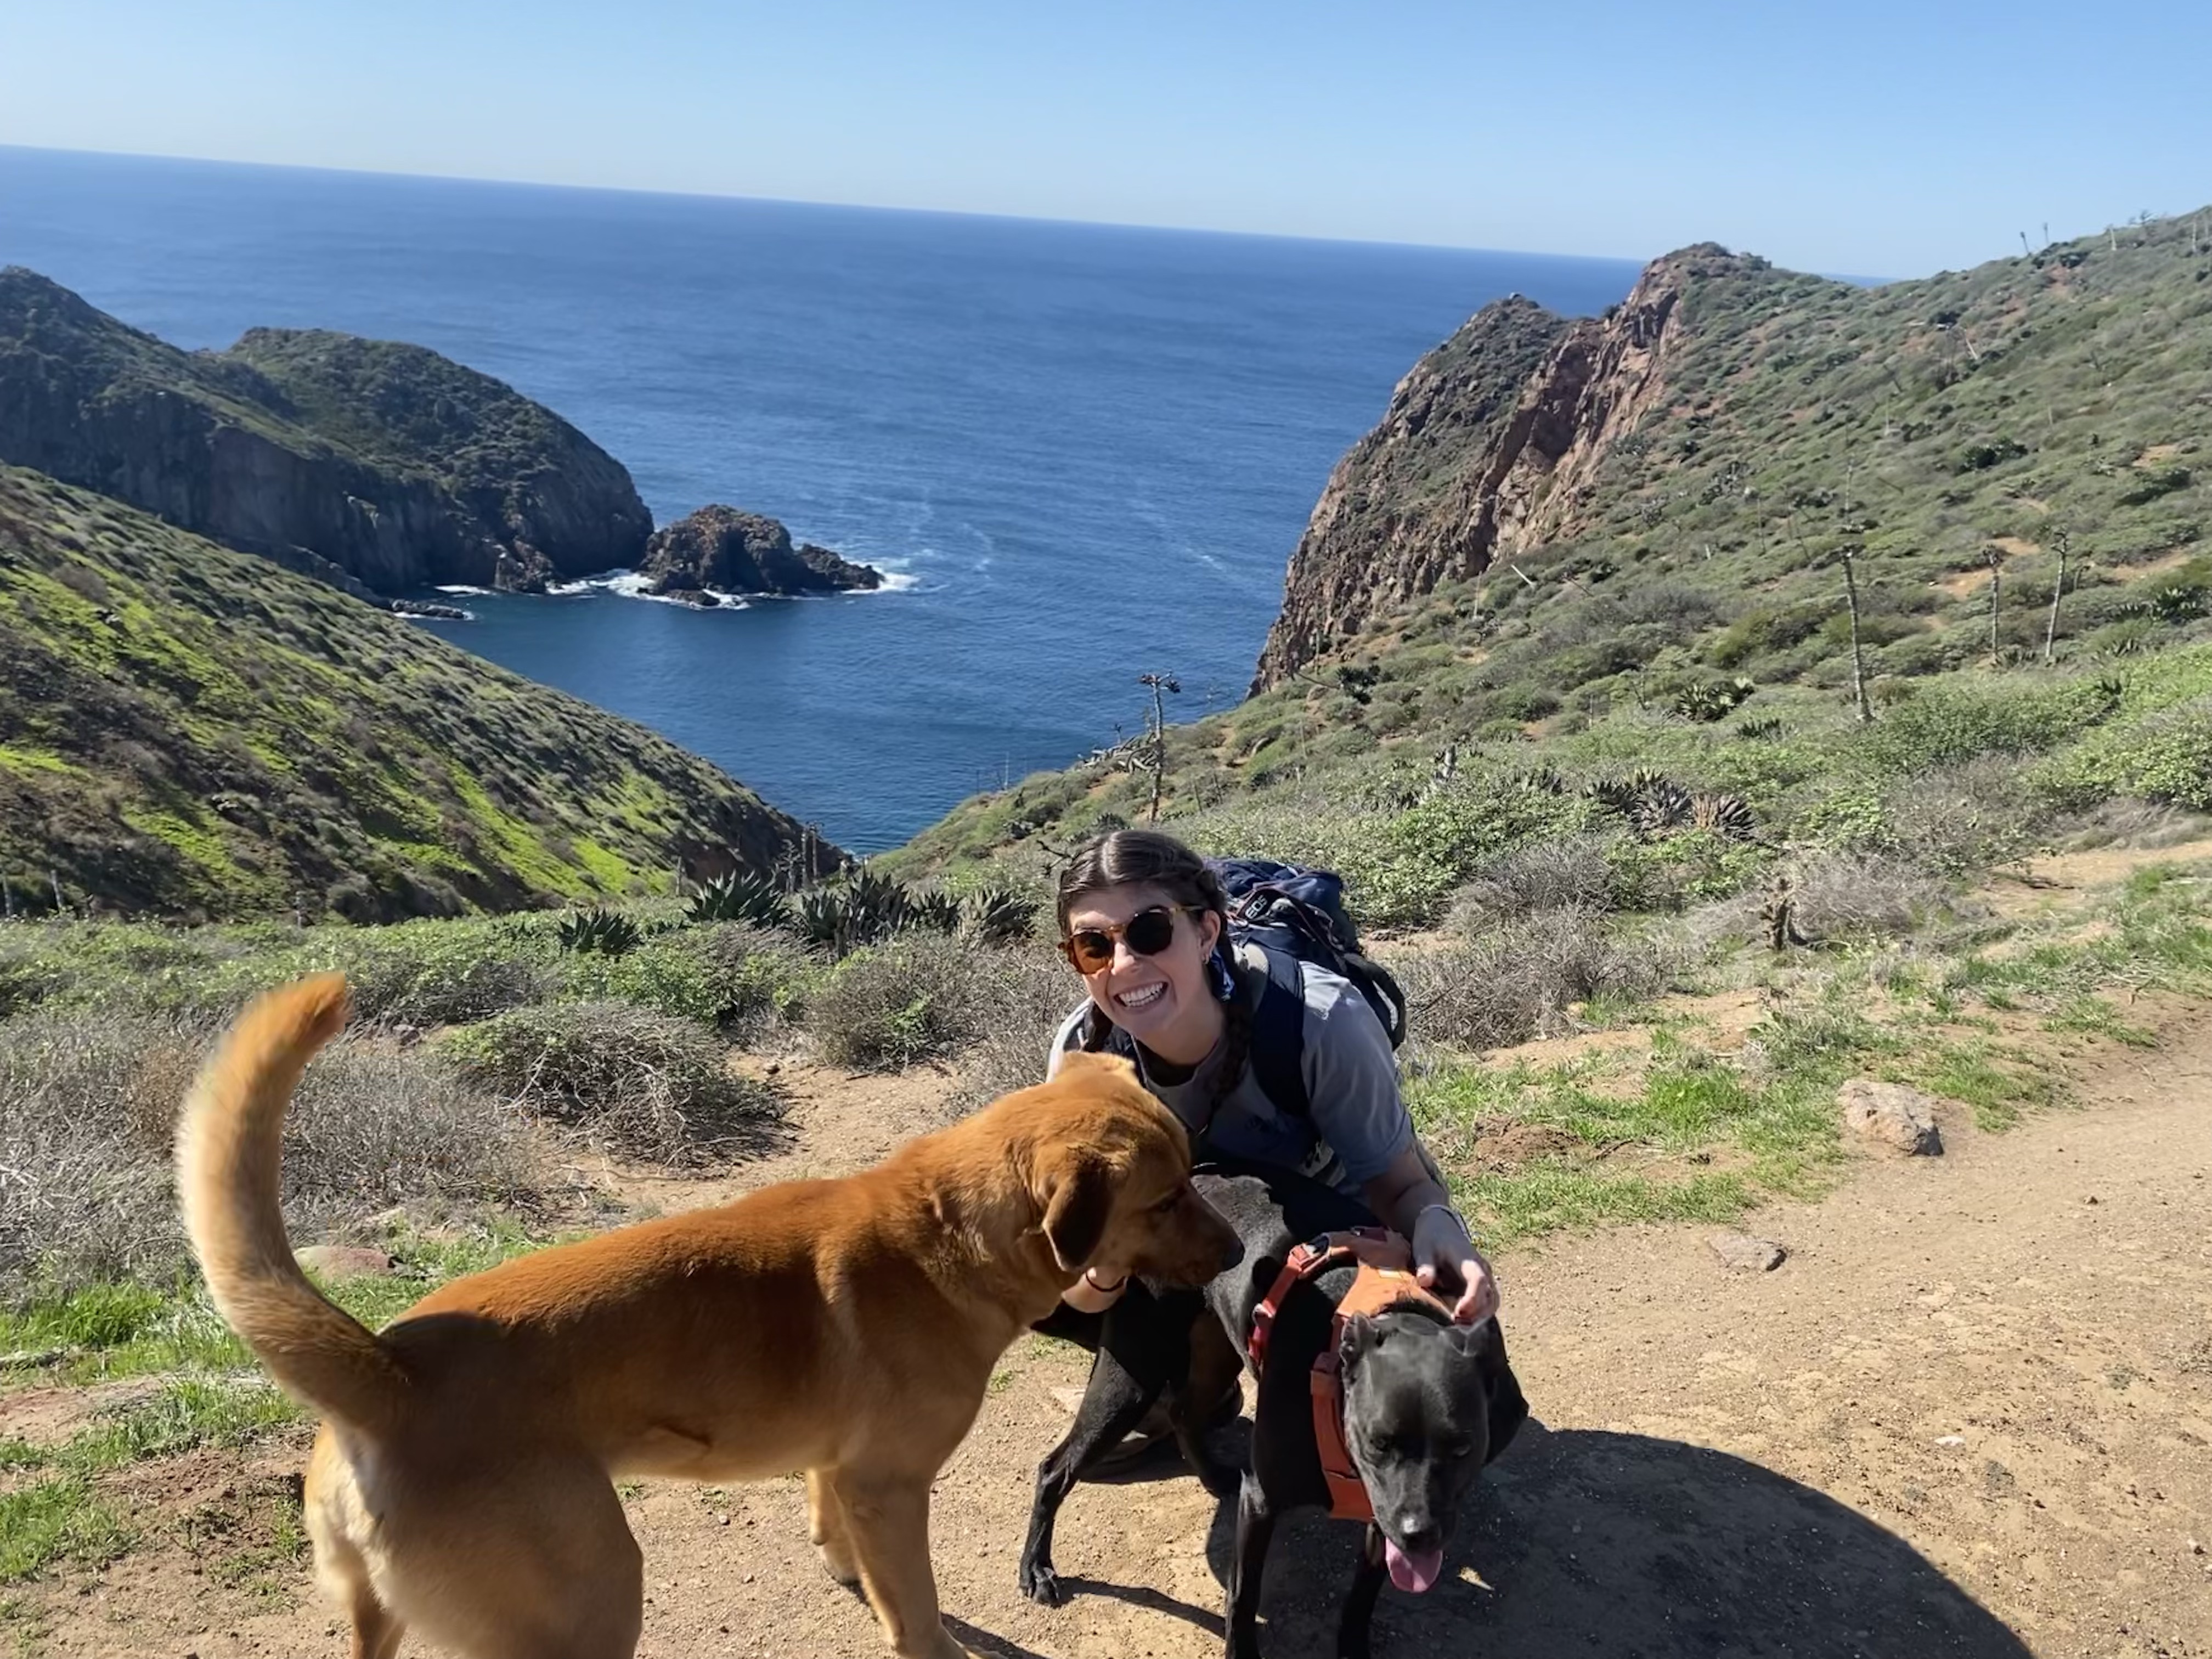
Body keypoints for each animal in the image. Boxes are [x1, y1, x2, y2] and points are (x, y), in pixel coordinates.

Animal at [178, 976, 1242, 1659]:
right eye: (1166, 1197)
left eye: (1195, 1173)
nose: (1240, 1254)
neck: (945, 1227)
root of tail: (387, 1373)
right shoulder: (892, 1487)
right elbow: (920, 1615)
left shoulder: (840, 1471)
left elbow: (842, 1545)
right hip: (592, 1598)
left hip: (400, 1616)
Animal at [1018, 1164, 1525, 1659]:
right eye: (1377, 1442)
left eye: (1463, 1449)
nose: (1420, 1535)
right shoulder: (1262, 1501)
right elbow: (1243, 1598)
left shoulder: (1381, 1516)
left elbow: (1362, 1596)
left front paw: (1353, 1648)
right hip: (1135, 1376)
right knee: (1055, 1468)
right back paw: (1036, 1567)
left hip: (1216, 1355)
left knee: (1183, 1412)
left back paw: (1214, 1476)